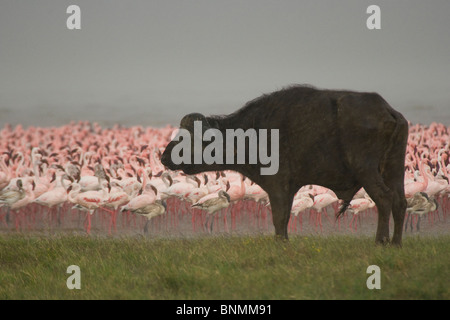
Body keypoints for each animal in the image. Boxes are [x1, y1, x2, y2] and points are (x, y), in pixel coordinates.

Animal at [160, 84, 410, 245]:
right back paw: (396, 242)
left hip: (366, 169)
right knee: (400, 201)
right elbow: (285, 216)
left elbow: (279, 217)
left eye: (186, 138)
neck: (253, 132)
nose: (164, 157)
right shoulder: (289, 188)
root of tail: (389, 111)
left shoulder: (277, 184)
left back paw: (381, 240)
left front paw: (280, 242)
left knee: (384, 198)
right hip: (394, 168)